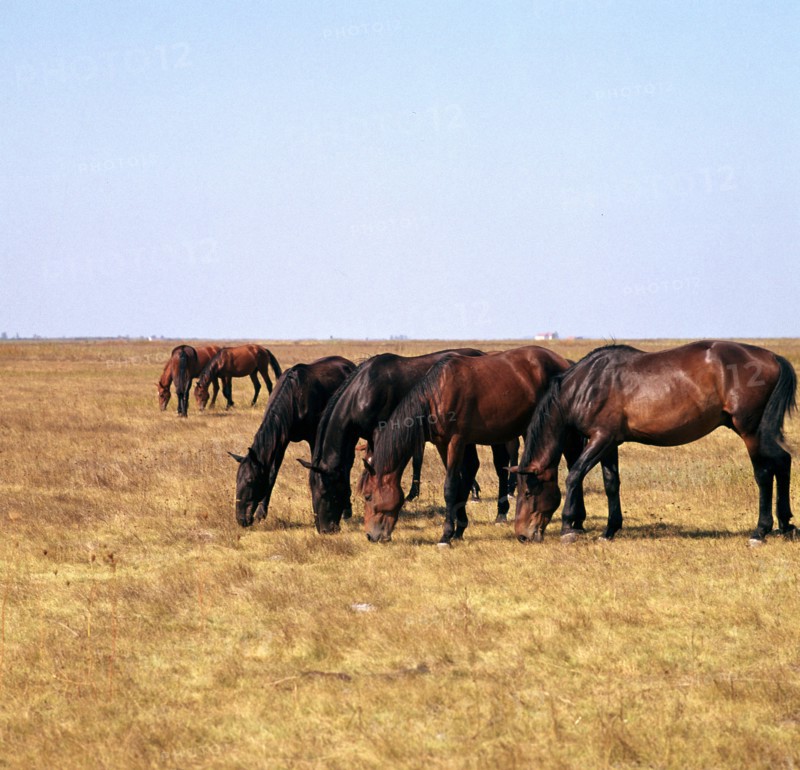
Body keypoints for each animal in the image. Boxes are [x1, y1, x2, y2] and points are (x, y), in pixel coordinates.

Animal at [228, 356, 356, 527]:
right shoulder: (281, 441)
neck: (293, 397)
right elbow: (272, 474)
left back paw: (347, 511)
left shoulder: (314, 438)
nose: (241, 519)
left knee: (347, 464)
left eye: (250, 480)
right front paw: (262, 513)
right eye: (237, 480)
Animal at [360, 345, 578, 545]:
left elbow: (450, 487)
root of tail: (564, 362)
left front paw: (446, 535)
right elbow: (461, 481)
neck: (437, 394)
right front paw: (459, 529)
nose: (370, 536)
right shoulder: (442, 444)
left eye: (368, 496)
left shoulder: (456, 441)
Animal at [511, 341, 797, 545]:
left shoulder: (600, 438)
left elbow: (574, 475)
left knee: (764, 473)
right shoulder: (610, 443)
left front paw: (568, 528)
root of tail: (772, 357)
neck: (587, 384)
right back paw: (786, 526)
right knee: (783, 461)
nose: (522, 535)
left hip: (751, 431)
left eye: (527, 493)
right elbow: (611, 483)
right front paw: (609, 530)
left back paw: (760, 531)